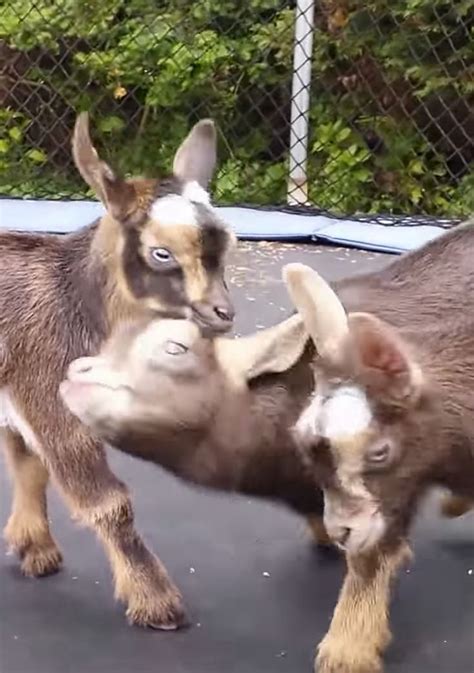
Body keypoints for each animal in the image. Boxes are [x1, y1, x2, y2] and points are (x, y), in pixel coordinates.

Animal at [0, 110, 236, 632]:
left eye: (226, 246)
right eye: (162, 253)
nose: (222, 313)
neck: (74, 301)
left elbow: (28, 465)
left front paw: (35, 548)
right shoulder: (48, 384)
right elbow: (109, 501)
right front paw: (156, 601)